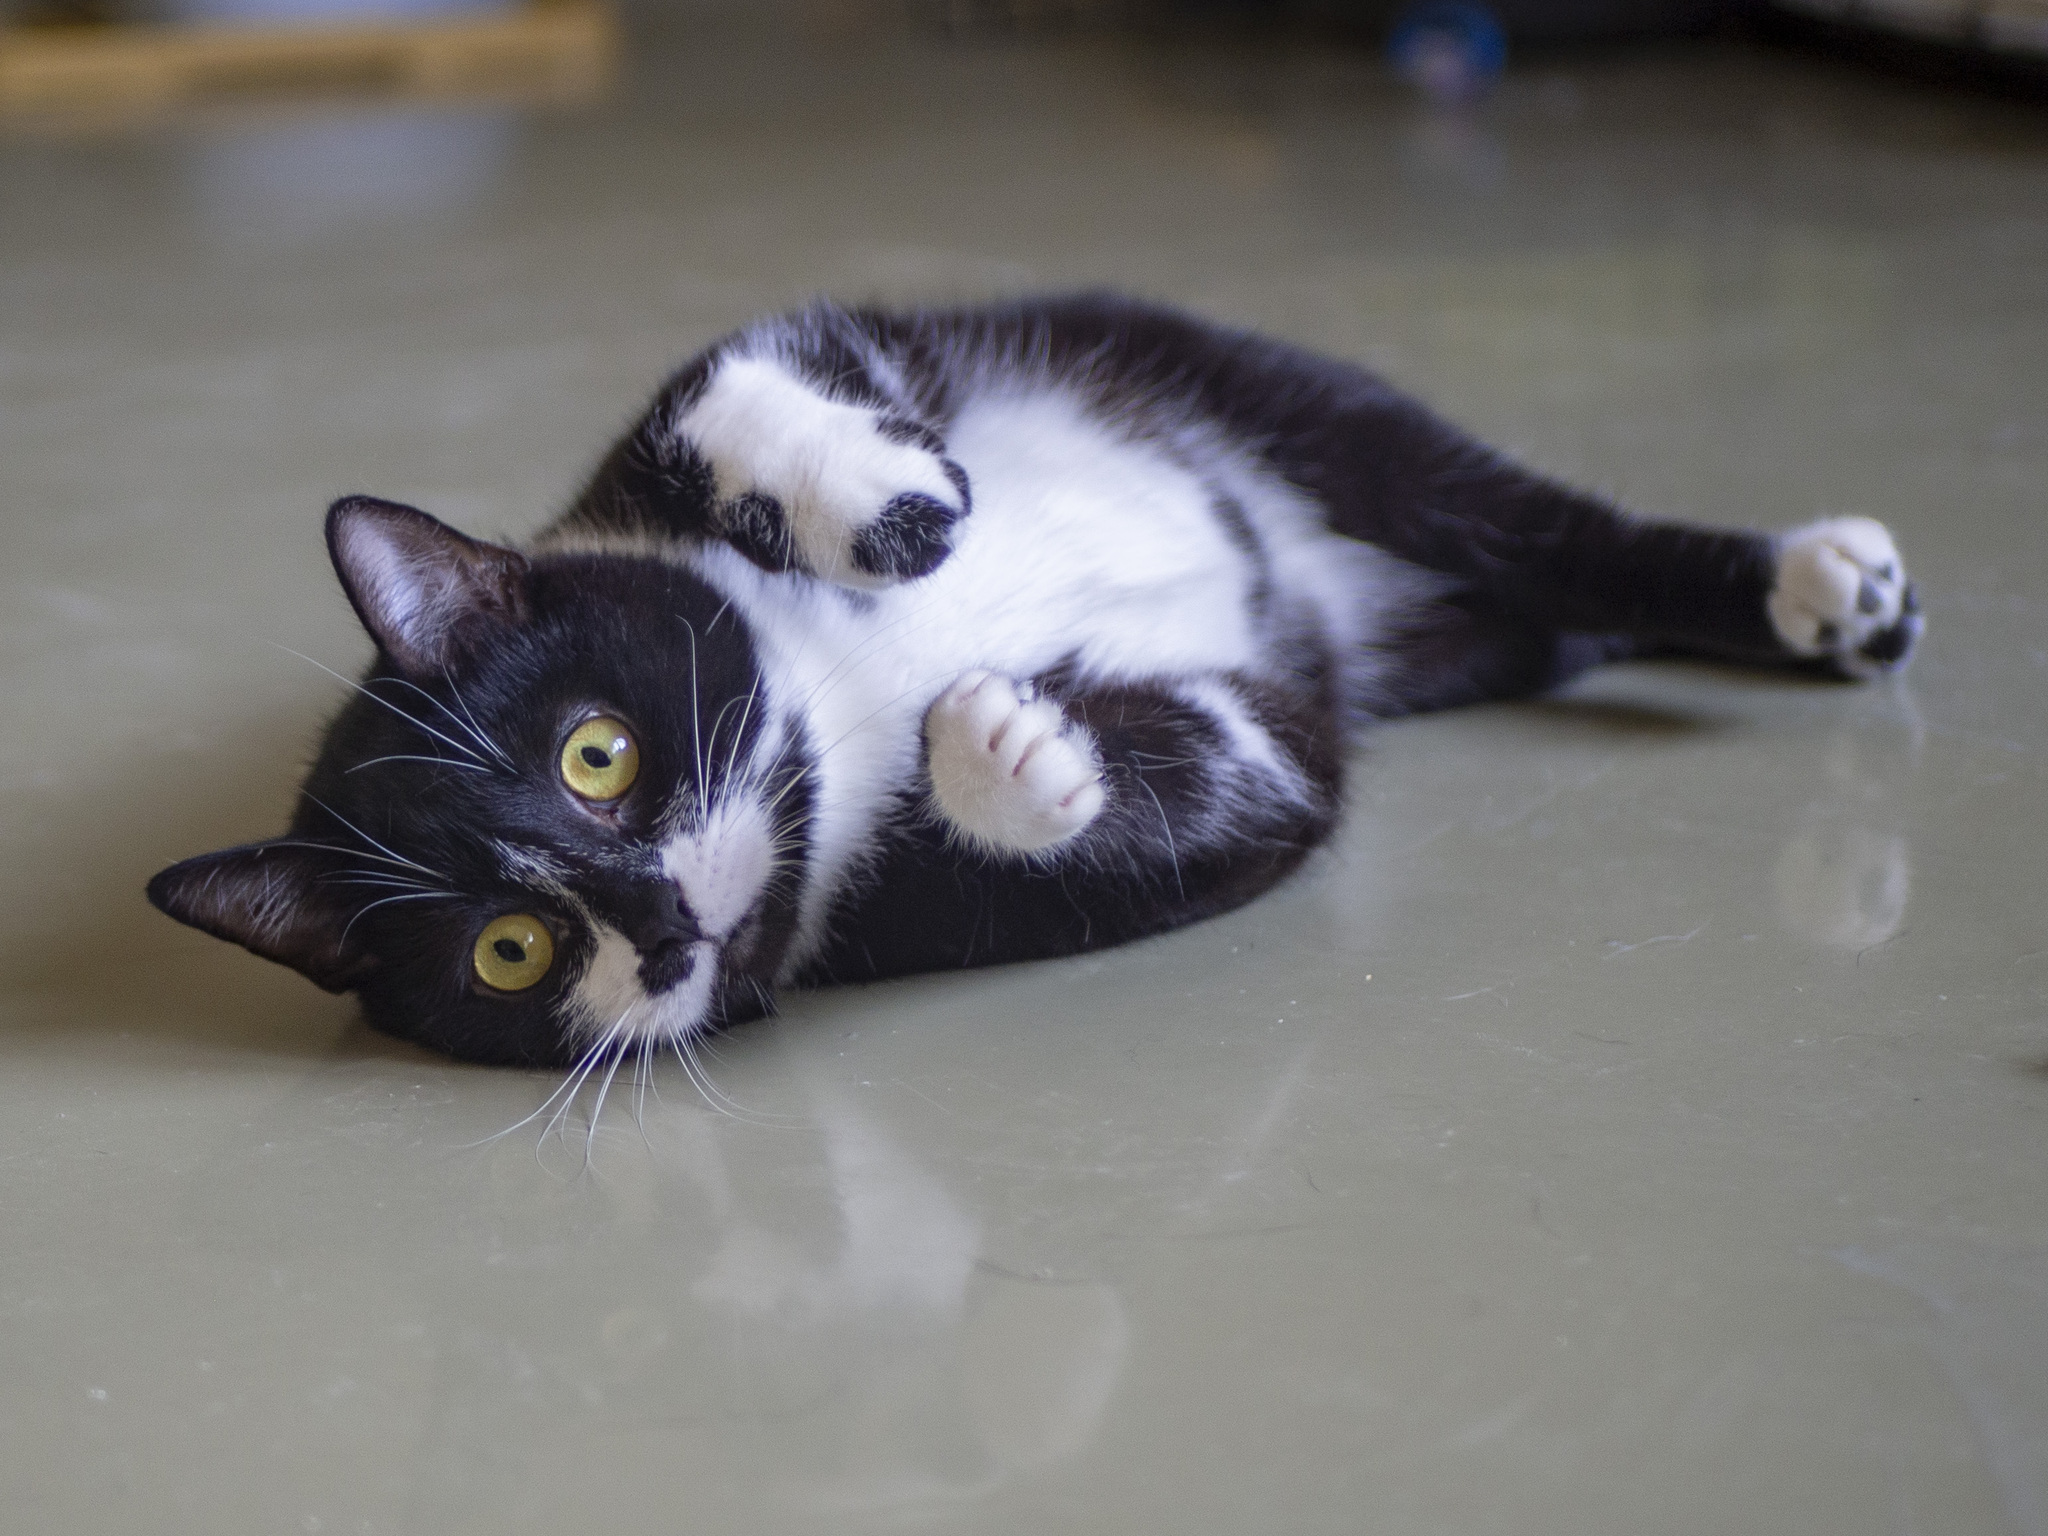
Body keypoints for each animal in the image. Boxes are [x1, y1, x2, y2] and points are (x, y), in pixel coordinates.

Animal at [144, 296, 1916, 1073]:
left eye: (595, 757)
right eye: (512, 952)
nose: (657, 923)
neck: (844, 695)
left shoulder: (748, 391)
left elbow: (726, 378)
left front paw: (893, 505)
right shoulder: (1256, 778)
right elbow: (1249, 780)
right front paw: (1016, 747)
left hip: (1274, 391)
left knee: (1549, 527)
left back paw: (1821, 589)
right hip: (1437, 625)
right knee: (1545, 610)